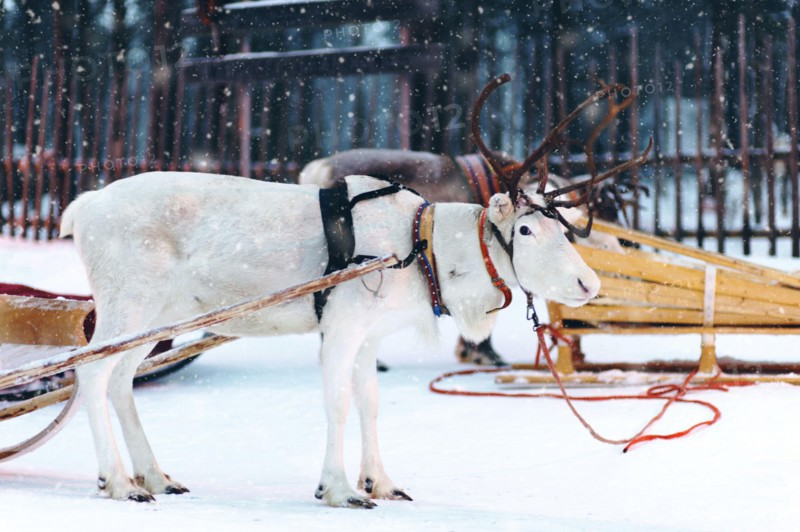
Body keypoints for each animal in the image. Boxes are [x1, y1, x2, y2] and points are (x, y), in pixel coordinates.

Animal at [44, 74, 646, 508]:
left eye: (564, 227)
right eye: (524, 230)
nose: (588, 282)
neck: (424, 251)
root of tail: (81, 209)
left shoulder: (371, 336)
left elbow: (370, 402)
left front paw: (381, 481)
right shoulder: (341, 326)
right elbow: (336, 401)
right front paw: (337, 489)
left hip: (159, 317)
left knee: (121, 379)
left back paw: (154, 475)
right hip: (128, 305)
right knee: (90, 372)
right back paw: (118, 482)